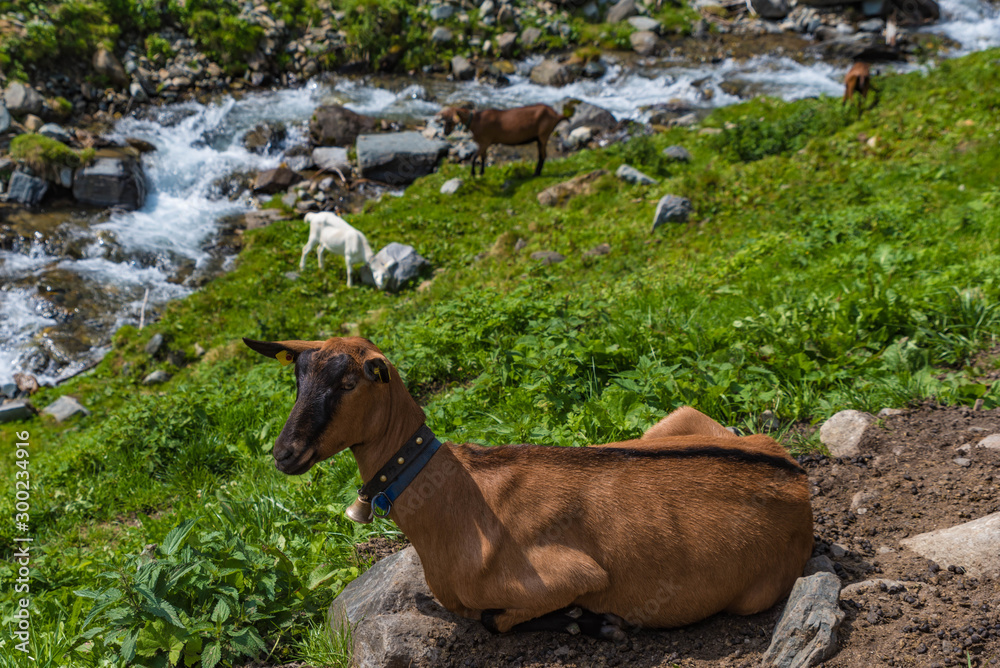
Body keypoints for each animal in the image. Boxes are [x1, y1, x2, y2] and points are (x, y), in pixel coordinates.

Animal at [242, 336, 813, 637]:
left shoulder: (566, 574)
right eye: (297, 379)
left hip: (754, 595)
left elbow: (494, 620)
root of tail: (797, 476)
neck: (453, 495)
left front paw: (588, 620)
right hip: (677, 420)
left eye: (347, 382)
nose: (284, 452)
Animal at [437, 102, 577, 177]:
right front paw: (481, 172)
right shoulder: (485, 143)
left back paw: (536, 173)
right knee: (541, 155)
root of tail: (556, 115)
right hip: (539, 137)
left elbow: (474, 157)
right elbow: (483, 157)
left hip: (543, 134)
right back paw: (536, 172)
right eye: (444, 119)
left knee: (543, 155)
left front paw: (472, 173)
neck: (476, 120)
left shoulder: (484, 141)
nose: (445, 132)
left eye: (450, 120)